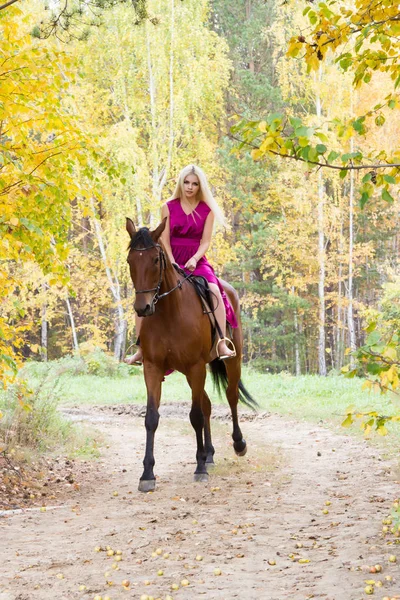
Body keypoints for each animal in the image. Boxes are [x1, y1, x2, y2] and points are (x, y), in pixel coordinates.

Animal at [126, 217, 258, 492]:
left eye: (155, 260)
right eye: (130, 261)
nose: (143, 308)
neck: (169, 312)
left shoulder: (196, 366)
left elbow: (195, 415)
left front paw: (199, 468)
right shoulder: (153, 367)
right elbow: (151, 418)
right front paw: (147, 474)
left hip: (231, 361)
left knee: (230, 397)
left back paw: (238, 444)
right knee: (207, 403)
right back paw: (209, 455)